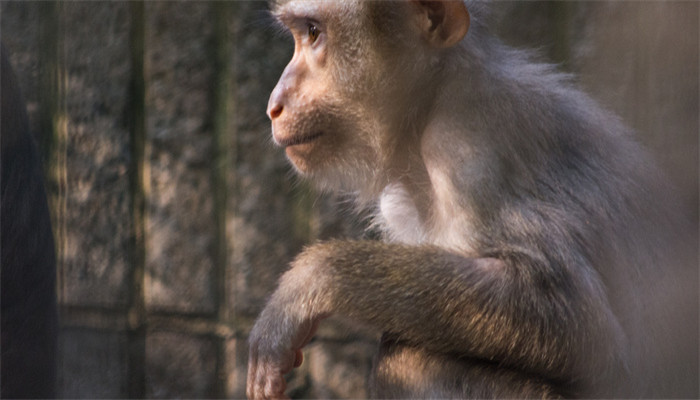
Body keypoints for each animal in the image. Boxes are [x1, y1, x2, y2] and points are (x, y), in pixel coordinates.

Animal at [246, 1, 696, 398]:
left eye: (314, 32)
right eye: (301, 33)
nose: (273, 104)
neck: (431, 106)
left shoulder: (470, 155)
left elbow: (580, 324)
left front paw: (310, 281)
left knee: (406, 358)